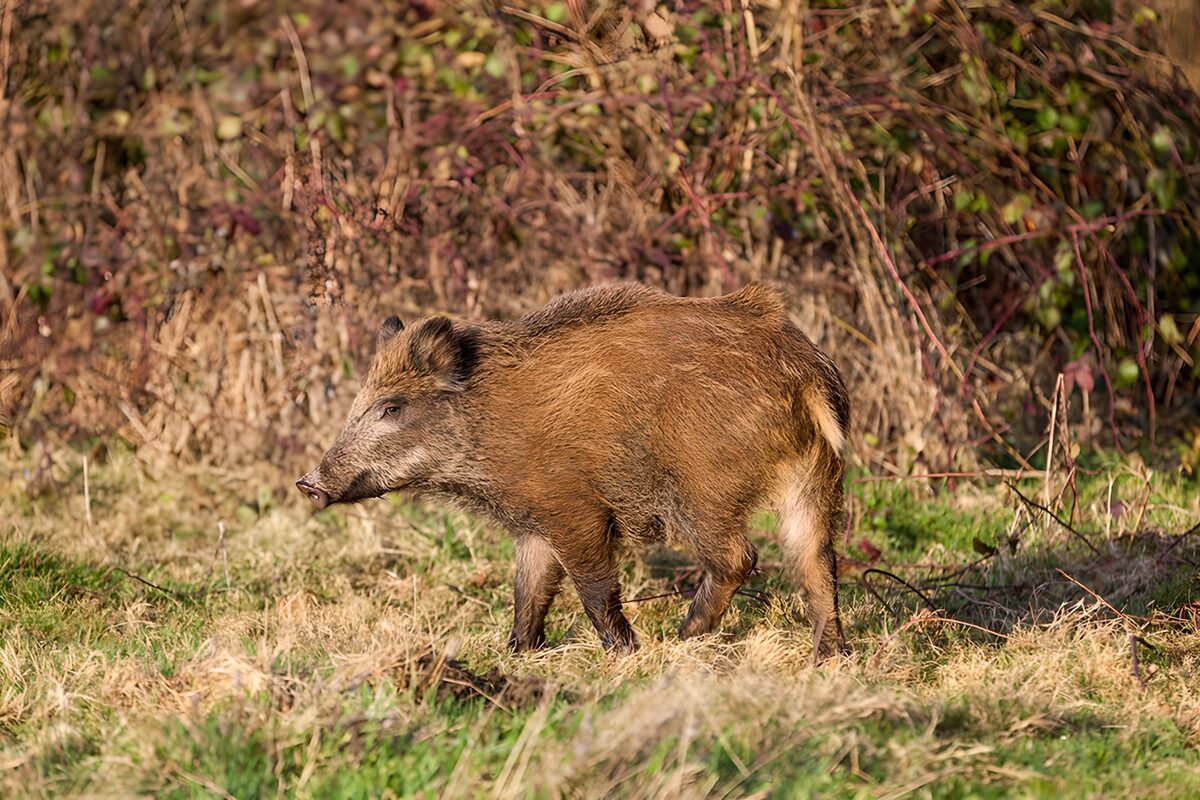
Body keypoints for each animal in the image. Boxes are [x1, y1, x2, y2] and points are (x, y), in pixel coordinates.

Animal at [297, 283, 850, 662]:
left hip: (704, 489)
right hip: (815, 477)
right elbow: (529, 591)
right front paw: (516, 653)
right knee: (815, 561)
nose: (308, 483)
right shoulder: (533, 525)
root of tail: (804, 371)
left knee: (740, 558)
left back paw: (681, 638)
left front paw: (625, 654)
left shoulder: (573, 510)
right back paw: (829, 658)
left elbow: (592, 589)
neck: (487, 423)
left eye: (392, 407)